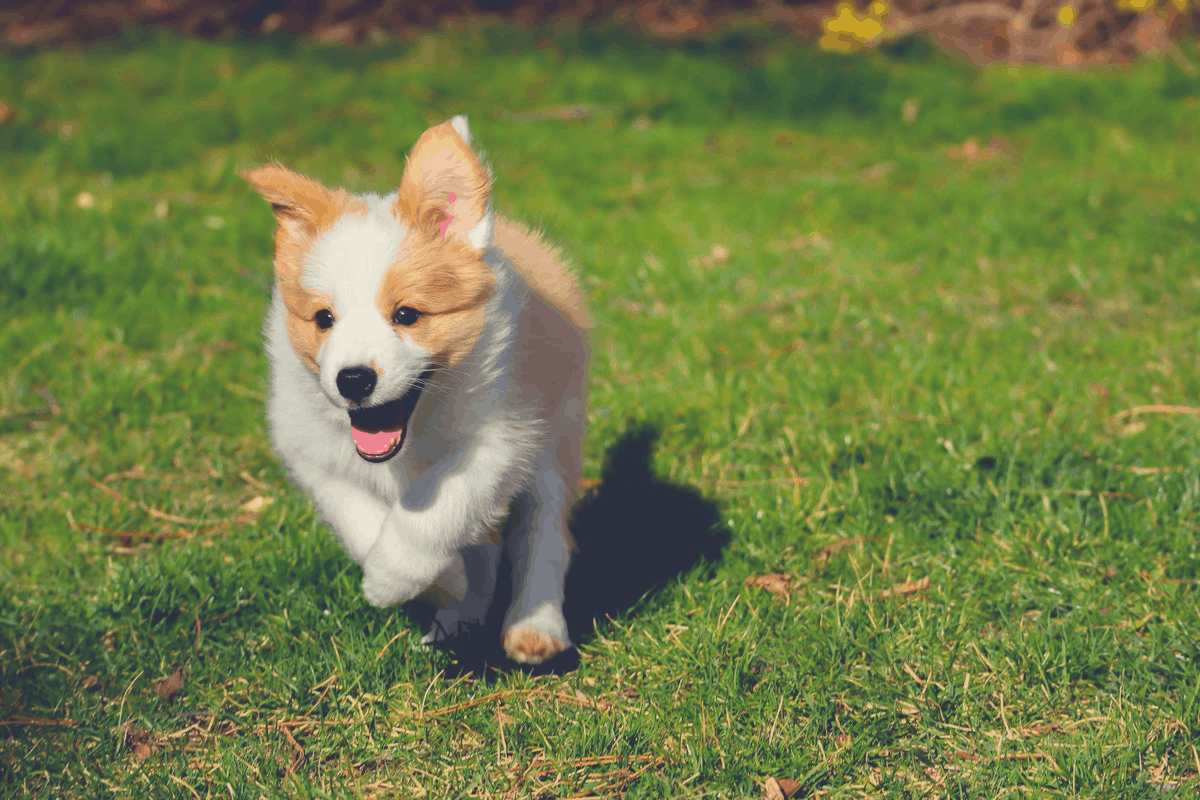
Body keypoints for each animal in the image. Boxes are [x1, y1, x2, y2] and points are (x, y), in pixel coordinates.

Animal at [247, 115, 590, 666]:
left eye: (407, 314)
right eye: (323, 319)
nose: (353, 379)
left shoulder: (500, 439)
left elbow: (433, 507)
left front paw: (391, 578)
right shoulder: (312, 451)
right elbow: (360, 521)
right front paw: (441, 582)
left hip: (557, 435)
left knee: (541, 533)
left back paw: (534, 625)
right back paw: (463, 615)